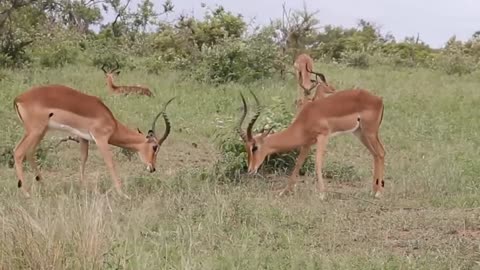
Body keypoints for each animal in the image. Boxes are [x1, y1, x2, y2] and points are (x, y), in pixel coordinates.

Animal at [12, 84, 174, 198]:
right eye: (155, 147)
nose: (152, 168)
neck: (111, 122)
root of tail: (18, 98)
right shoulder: (101, 139)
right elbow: (110, 163)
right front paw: (123, 194)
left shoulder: (83, 138)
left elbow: (83, 160)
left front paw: (83, 188)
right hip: (35, 131)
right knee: (18, 152)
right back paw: (26, 193)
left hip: (40, 132)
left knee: (29, 153)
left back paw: (44, 185)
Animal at [237, 89, 386, 199]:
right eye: (246, 148)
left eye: (255, 147)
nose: (250, 170)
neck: (306, 118)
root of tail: (379, 99)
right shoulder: (307, 143)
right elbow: (298, 164)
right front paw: (284, 192)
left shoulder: (323, 137)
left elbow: (318, 163)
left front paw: (322, 194)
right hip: (360, 133)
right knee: (375, 155)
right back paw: (373, 191)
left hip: (370, 133)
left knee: (381, 153)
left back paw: (379, 193)